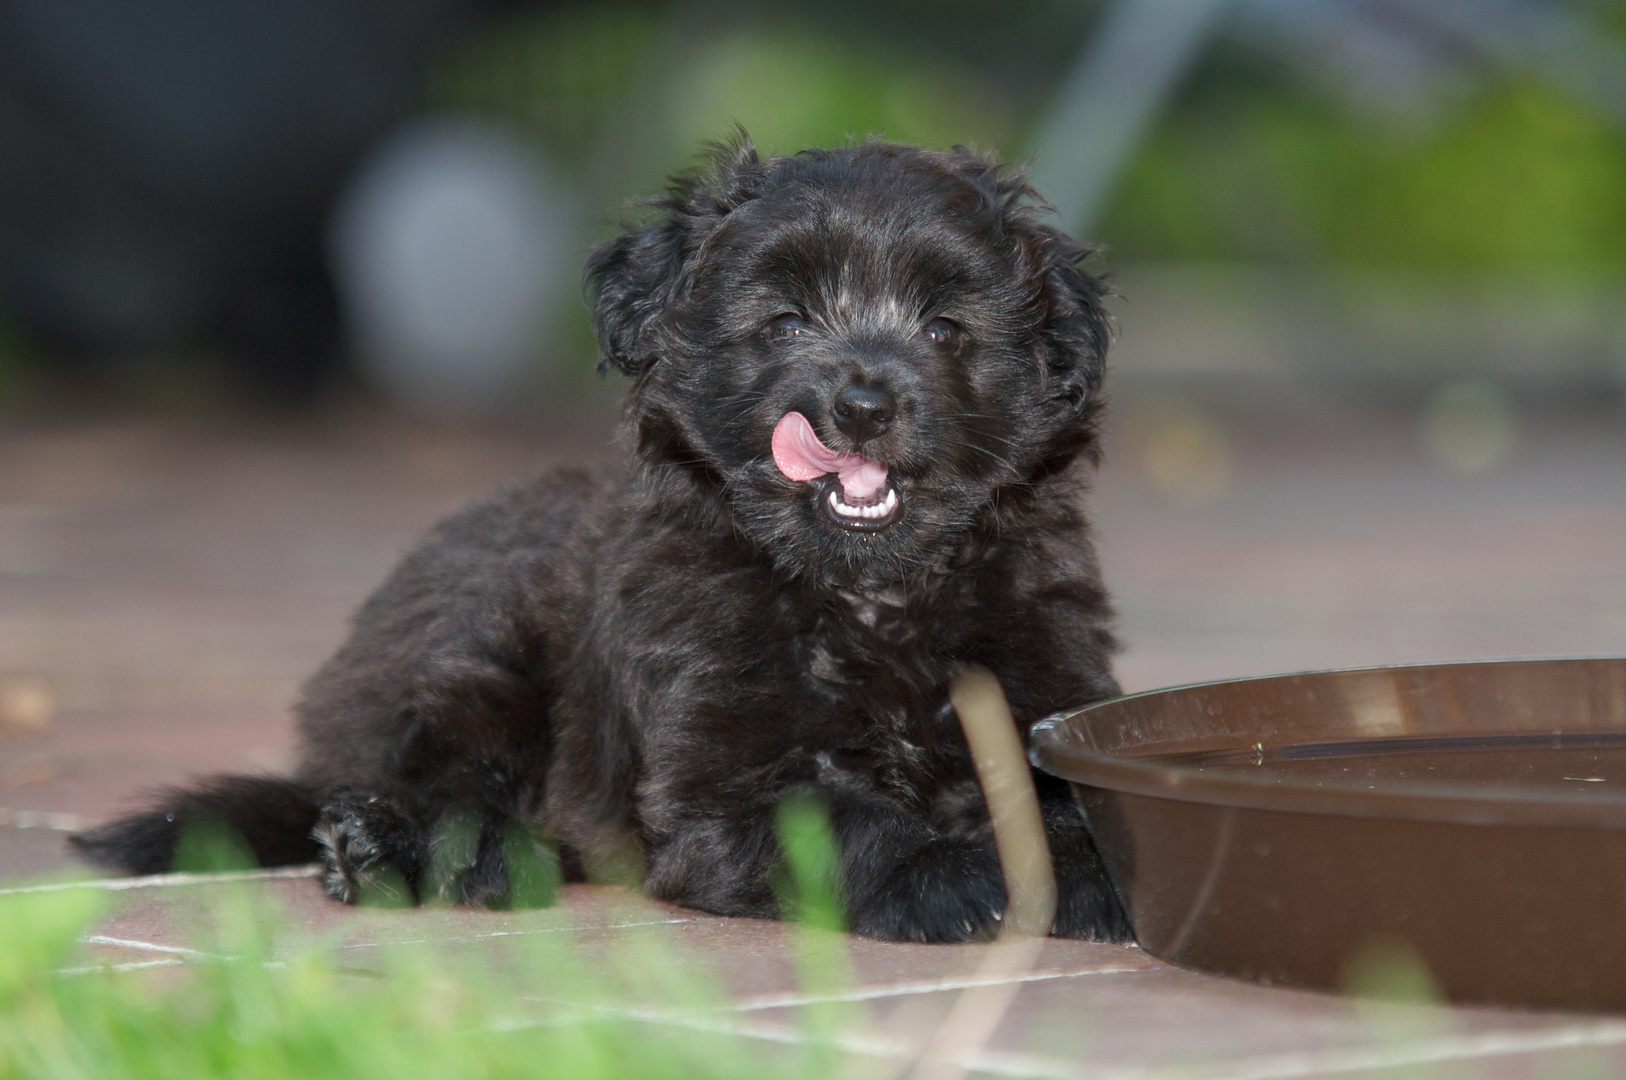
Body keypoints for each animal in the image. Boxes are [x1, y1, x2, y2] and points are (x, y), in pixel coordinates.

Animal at [73, 139, 1131, 943]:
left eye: (948, 330)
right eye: (785, 322)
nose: (862, 406)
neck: (872, 598)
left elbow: (1068, 804)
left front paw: (1097, 872)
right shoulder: (719, 792)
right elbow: (844, 817)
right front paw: (952, 875)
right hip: (477, 658)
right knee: (449, 783)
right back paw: (400, 849)